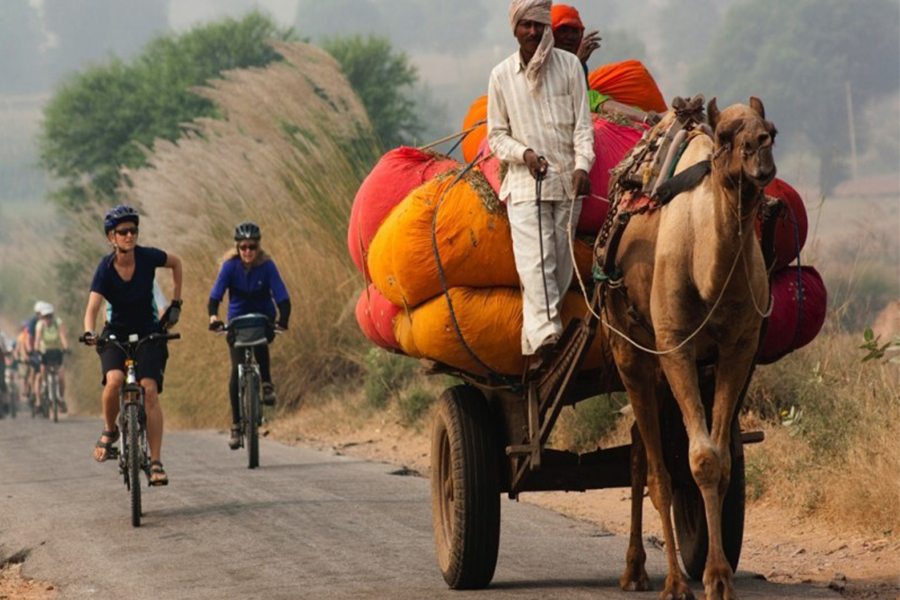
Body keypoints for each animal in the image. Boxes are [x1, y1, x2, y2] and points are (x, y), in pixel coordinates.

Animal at [604, 96, 780, 596]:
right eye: (725, 136)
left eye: (772, 130)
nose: (761, 154)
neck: (708, 277)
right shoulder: (675, 346)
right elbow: (694, 460)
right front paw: (689, 581)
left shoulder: (738, 349)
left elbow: (718, 464)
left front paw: (719, 576)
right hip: (630, 350)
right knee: (652, 467)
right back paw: (649, 574)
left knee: (638, 450)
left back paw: (638, 568)